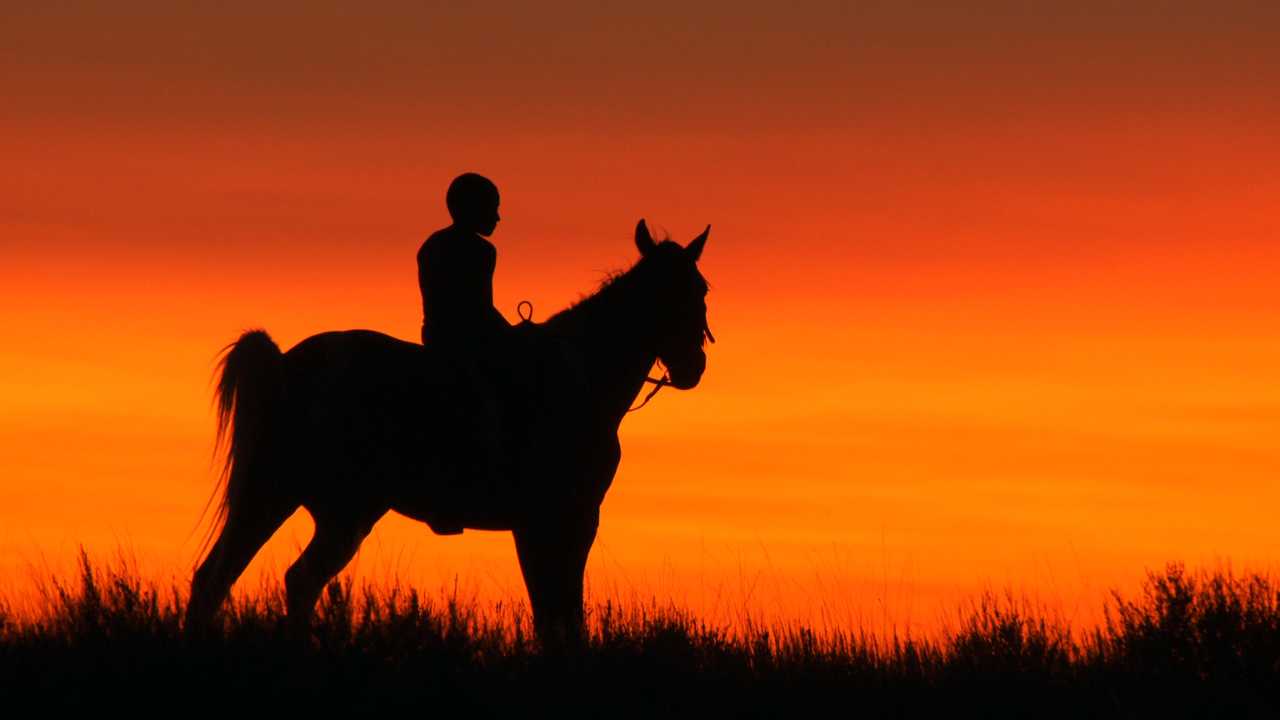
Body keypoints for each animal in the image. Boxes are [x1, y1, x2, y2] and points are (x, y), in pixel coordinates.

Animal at [186, 220, 716, 645]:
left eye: (700, 289)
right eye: (665, 294)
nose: (693, 366)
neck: (579, 375)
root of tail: (285, 364)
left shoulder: (554, 521)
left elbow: (556, 608)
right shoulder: (559, 518)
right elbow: (557, 608)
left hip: (307, 503)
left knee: (252, 578)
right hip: (308, 501)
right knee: (253, 578)